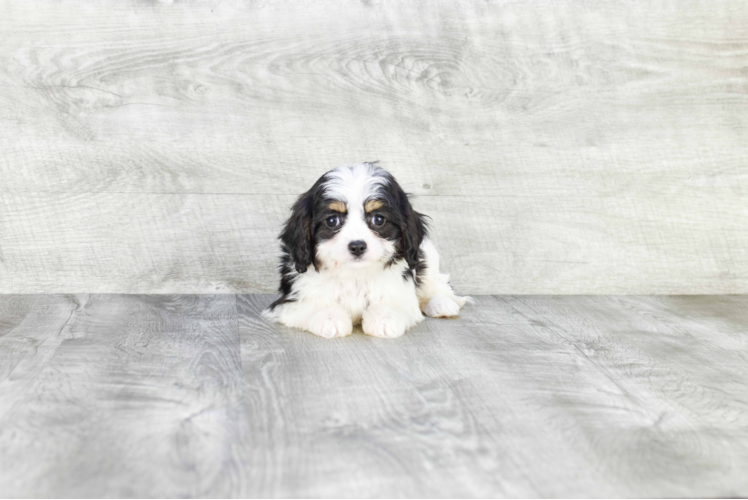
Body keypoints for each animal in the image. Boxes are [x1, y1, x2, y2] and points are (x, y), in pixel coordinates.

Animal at [262, 162, 468, 338]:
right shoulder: (291, 298)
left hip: (427, 255)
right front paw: (329, 319)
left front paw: (384, 319)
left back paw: (442, 304)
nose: (357, 246)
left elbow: (393, 302)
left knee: (437, 284)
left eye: (379, 219)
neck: (355, 274)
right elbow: (314, 303)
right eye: (332, 220)